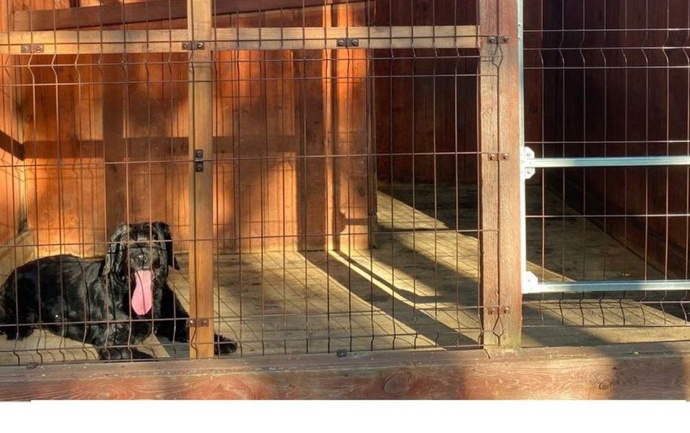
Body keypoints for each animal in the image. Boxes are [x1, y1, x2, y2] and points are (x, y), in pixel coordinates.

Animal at [0, 221, 237, 360]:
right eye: (126, 240)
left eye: (154, 236)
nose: (140, 256)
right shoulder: (112, 342)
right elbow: (148, 358)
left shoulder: (176, 321)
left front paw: (223, 342)